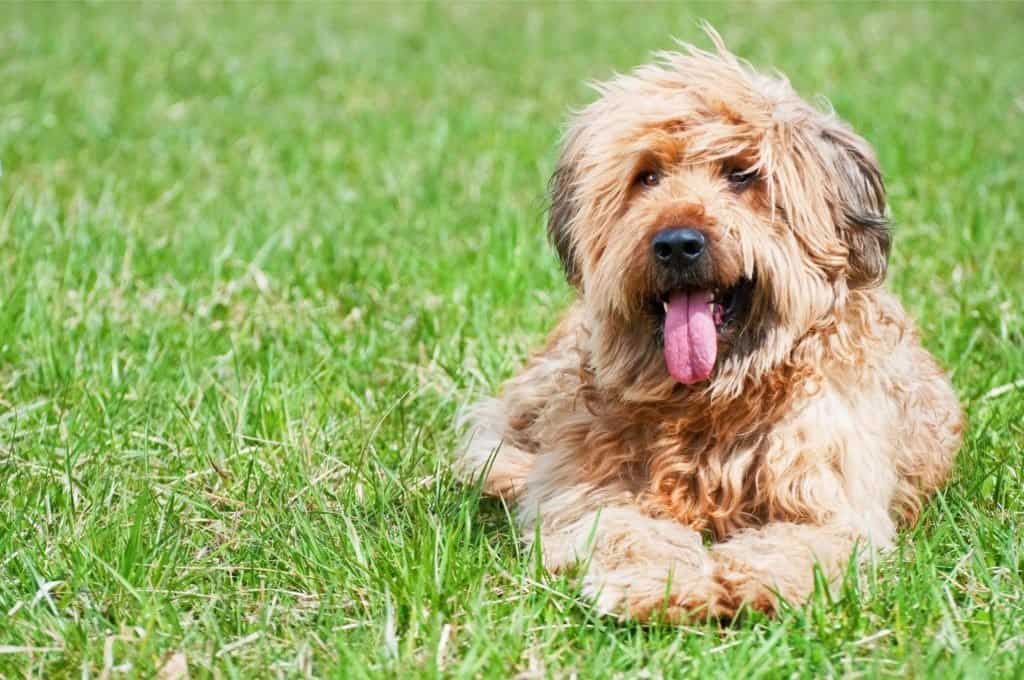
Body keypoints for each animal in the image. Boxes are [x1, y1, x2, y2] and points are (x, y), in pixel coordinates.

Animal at [454, 27, 958, 622]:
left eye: (741, 174)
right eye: (646, 176)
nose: (677, 243)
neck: (711, 403)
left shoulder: (832, 500)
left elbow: (805, 539)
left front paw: (750, 581)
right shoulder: (592, 491)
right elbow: (623, 529)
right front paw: (664, 583)